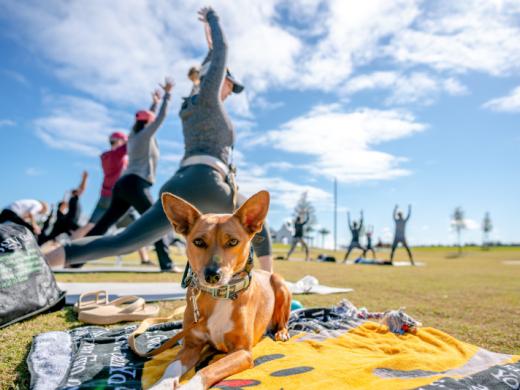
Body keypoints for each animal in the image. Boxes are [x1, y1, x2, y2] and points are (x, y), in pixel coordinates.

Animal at [149, 190, 292, 388]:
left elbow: (208, 369)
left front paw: (191, 385)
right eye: (198, 242)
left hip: (280, 284)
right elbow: (171, 368)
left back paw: (281, 332)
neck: (219, 296)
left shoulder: (242, 352)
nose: (212, 275)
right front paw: (160, 385)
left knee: (283, 320)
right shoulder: (192, 346)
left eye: (232, 242)